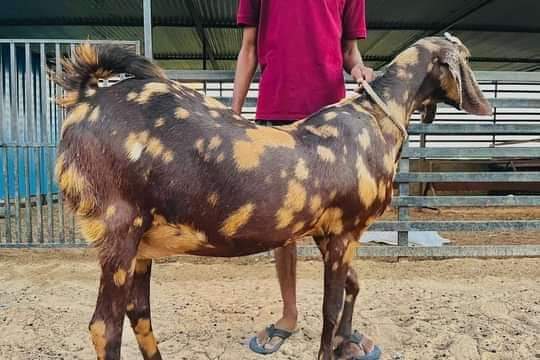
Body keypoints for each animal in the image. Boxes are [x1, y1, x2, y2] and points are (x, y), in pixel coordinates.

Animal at [54, 34, 494, 360]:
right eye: (466, 59)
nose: (484, 105)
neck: (374, 121)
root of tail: (86, 97)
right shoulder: (343, 232)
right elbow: (331, 307)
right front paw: (331, 349)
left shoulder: (331, 234)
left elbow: (353, 287)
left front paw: (347, 345)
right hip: (118, 227)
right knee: (105, 326)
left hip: (142, 243)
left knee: (138, 312)